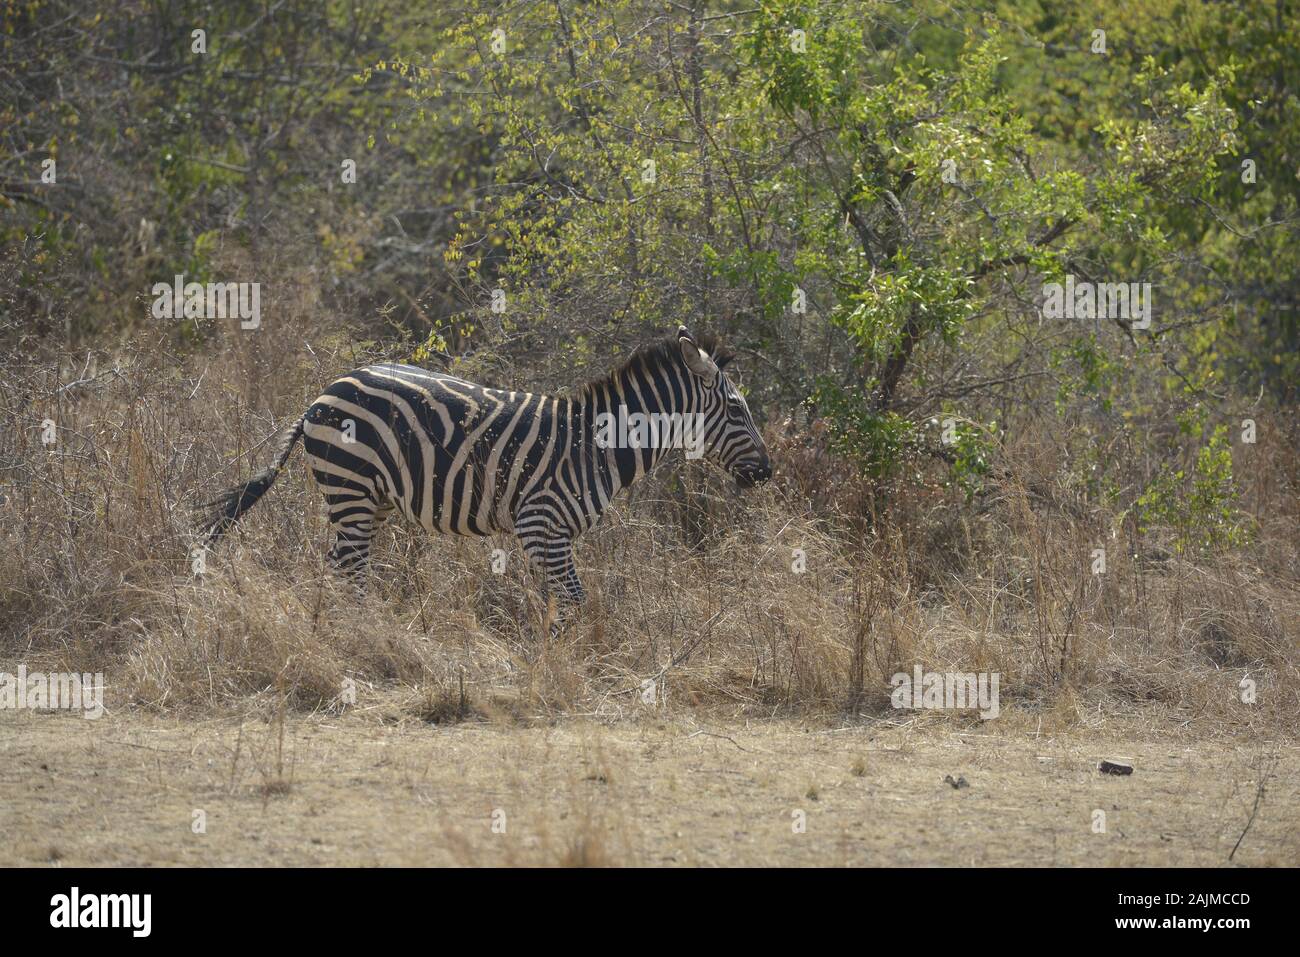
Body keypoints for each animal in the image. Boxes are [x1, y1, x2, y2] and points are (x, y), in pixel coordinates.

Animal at [199, 325, 771, 614]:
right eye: (737, 409)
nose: (767, 472)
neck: (596, 445)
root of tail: (323, 393)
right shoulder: (541, 525)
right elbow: (575, 601)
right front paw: (567, 667)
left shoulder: (551, 535)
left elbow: (560, 602)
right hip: (351, 487)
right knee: (353, 571)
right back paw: (366, 638)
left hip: (370, 497)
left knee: (341, 566)